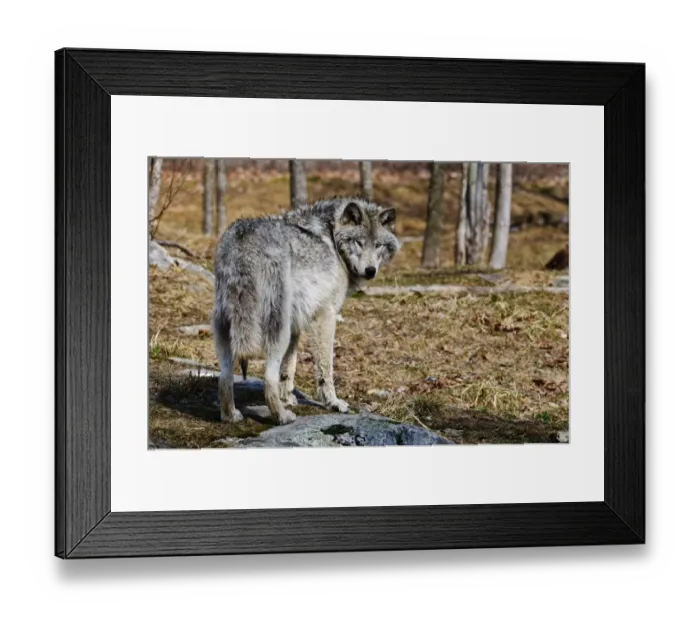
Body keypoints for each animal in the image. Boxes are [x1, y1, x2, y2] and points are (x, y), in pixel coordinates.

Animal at [213, 198, 401, 425]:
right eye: (359, 242)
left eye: (378, 245)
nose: (371, 271)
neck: (333, 237)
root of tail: (243, 239)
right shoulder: (325, 316)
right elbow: (325, 368)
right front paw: (333, 403)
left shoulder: (296, 324)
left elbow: (289, 367)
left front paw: (287, 397)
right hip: (278, 329)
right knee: (268, 378)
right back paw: (282, 417)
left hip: (225, 326)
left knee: (225, 377)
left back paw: (230, 415)